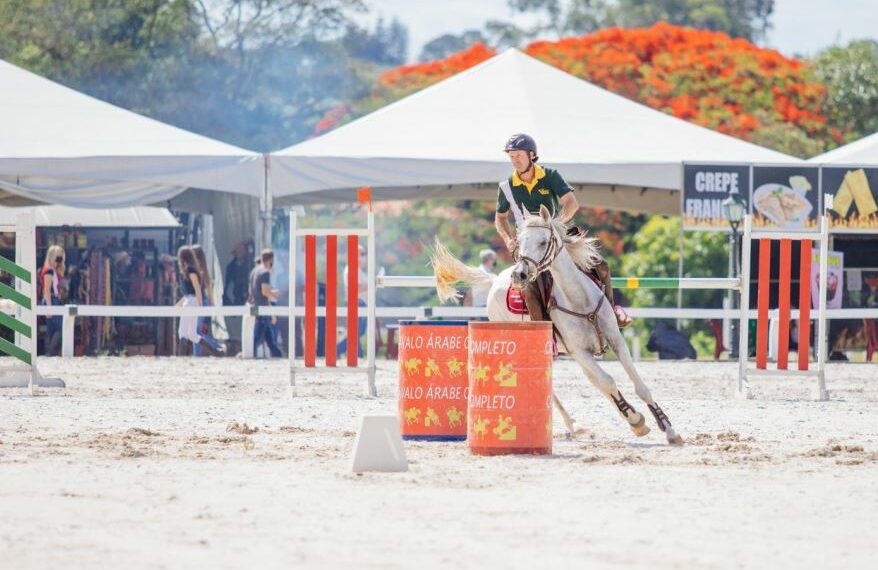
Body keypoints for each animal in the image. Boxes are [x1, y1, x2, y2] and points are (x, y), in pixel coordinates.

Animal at [434, 204, 688, 444]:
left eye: (543, 241)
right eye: (520, 242)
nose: (520, 275)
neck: (579, 298)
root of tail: (496, 280)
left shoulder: (615, 341)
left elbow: (637, 384)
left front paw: (667, 427)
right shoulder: (580, 352)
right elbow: (608, 381)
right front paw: (635, 419)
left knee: (590, 380)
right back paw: (574, 425)